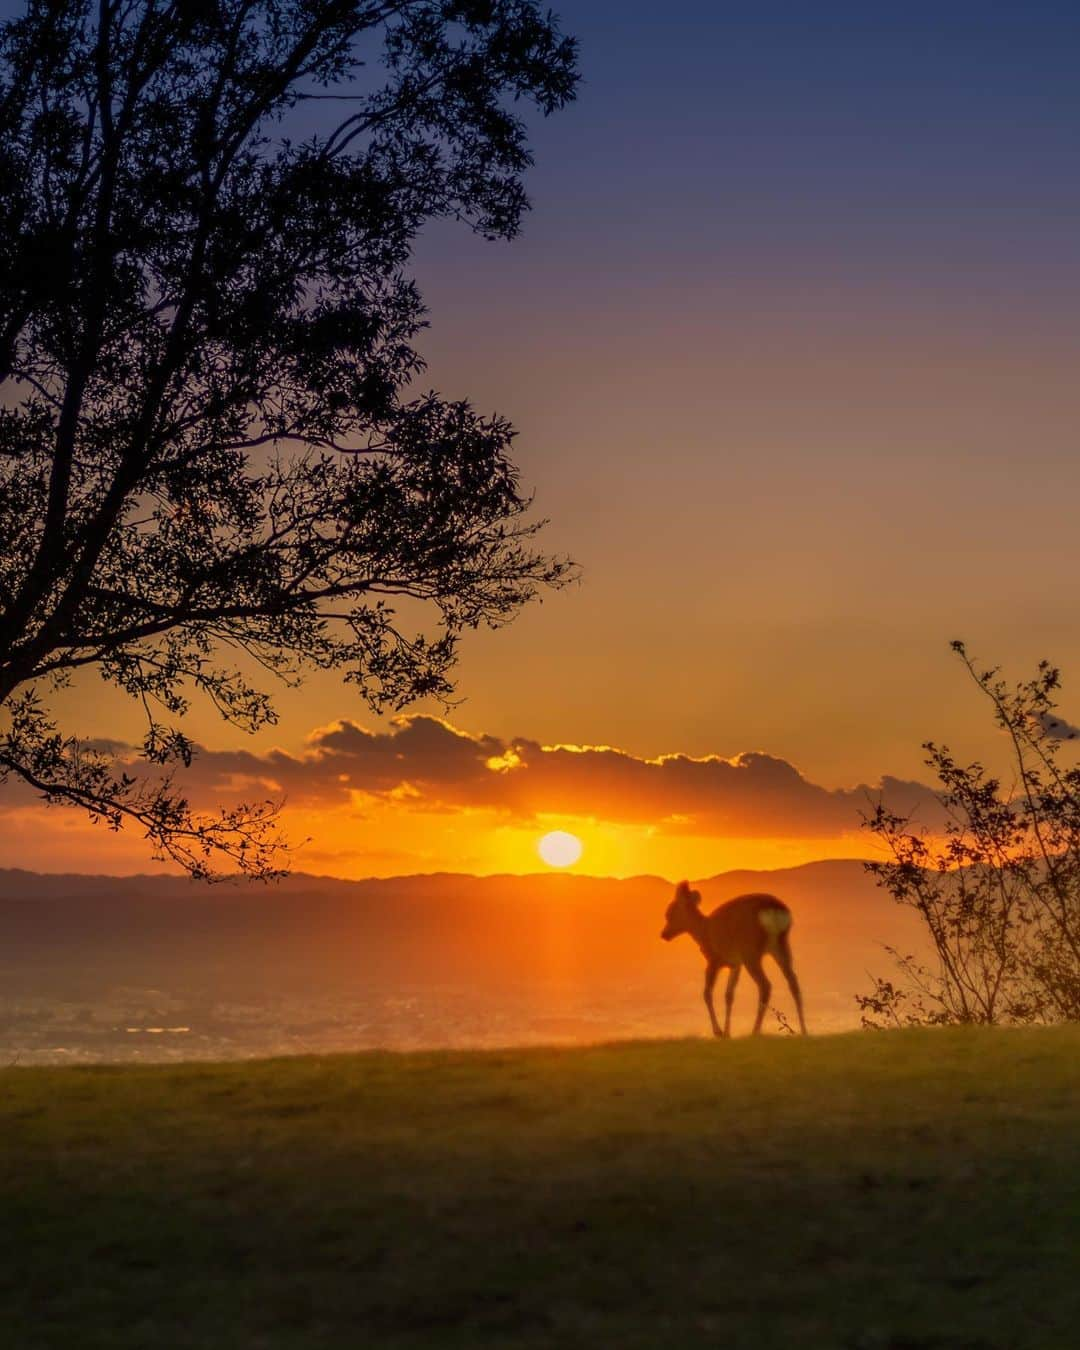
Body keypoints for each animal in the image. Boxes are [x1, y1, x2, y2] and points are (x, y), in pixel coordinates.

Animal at [661, 880, 804, 1036]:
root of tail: (774, 909)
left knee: (765, 985)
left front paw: (719, 1032)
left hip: (751, 951)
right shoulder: (735, 964)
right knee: (793, 982)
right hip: (780, 945)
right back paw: (804, 1030)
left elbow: (707, 993)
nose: (664, 934)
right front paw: (727, 1032)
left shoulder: (714, 959)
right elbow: (729, 995)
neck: (703, 933)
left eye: (670, 912)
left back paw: (755, 1031)